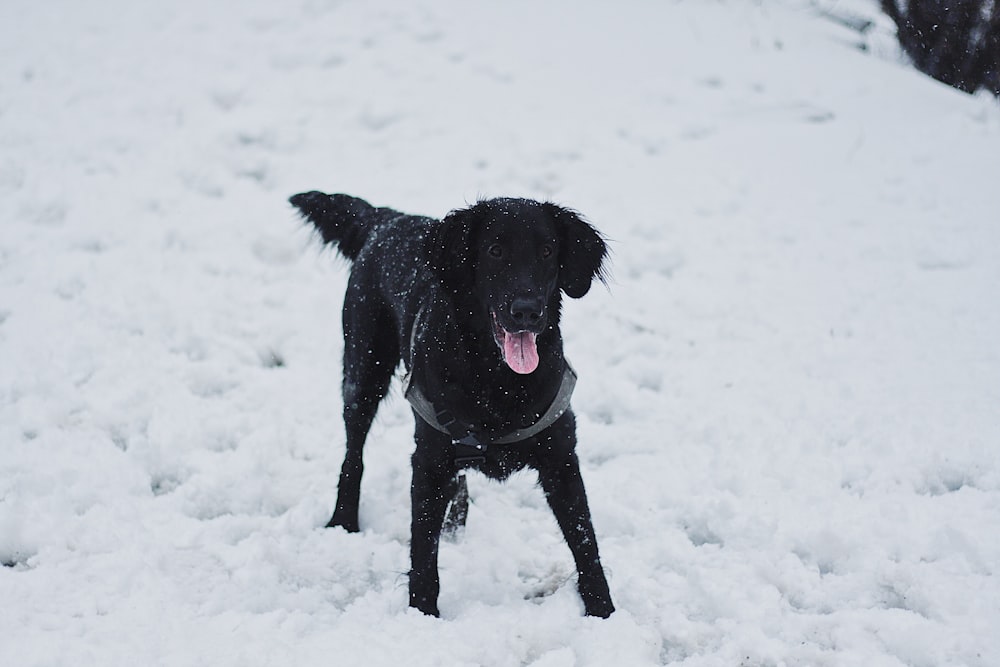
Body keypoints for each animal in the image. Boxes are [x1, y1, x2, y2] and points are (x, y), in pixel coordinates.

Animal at [290, 190, 612, 620]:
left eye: (547, 251)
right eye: (494, 250)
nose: (527, 310)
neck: (498, 380)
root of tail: (389, 220)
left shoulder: (561, 458)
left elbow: (586, 542)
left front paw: (605, 612)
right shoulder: (428, 461)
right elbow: (423, 552)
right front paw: (422, 615)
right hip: (362, 372)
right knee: (352, 456)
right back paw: (343, 521)